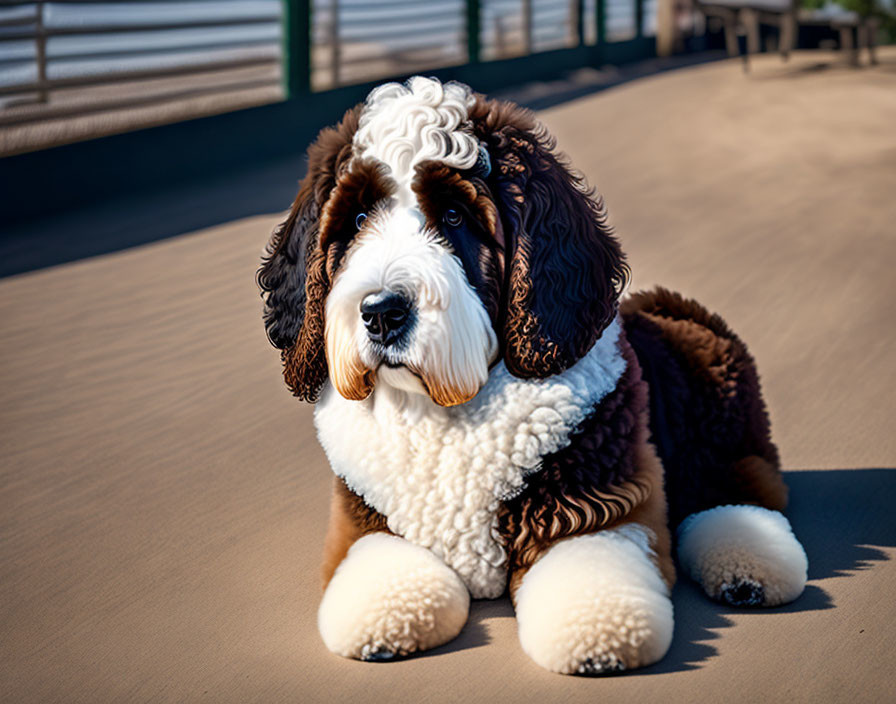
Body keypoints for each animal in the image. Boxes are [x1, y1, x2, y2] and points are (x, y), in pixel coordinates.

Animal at [256, 74, 808, 672]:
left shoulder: (599, 505)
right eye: (357, 221)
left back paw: (750, 566)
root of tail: (669, 307)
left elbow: (590, 576)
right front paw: (385, 623)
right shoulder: (364, 518)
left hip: (714, 412)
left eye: (455, 216)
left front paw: (600, 642)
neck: (449, 411)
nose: (382, 311)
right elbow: (382, 566)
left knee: (740, 485)